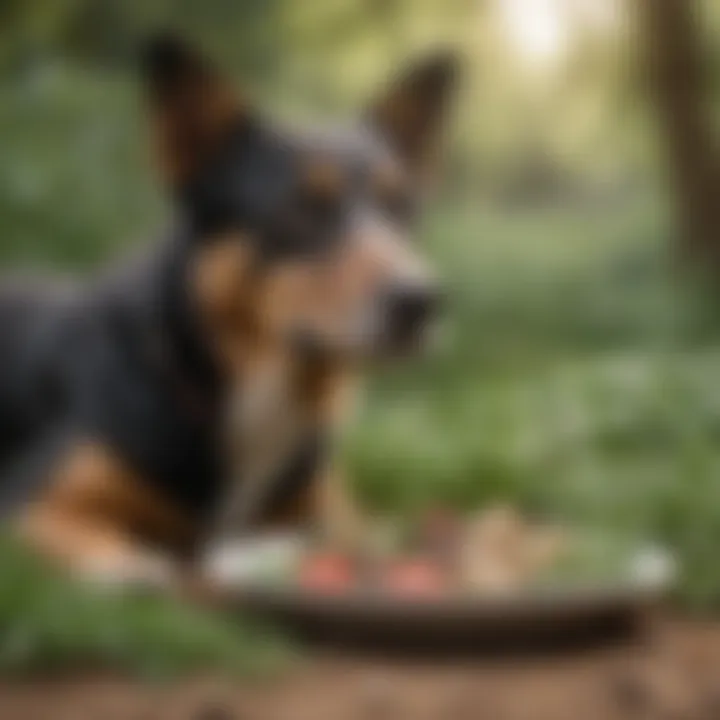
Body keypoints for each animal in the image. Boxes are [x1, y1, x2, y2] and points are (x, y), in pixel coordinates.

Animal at [0, 33, 458, 588]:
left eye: (402, 208)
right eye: (300, 208)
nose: (421, 301)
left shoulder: (336, 519)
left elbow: (360, 537)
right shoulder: (28, 502)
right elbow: (114, 555)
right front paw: (138, 568)